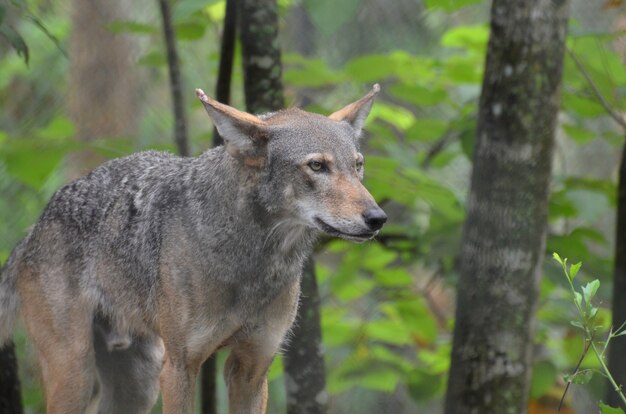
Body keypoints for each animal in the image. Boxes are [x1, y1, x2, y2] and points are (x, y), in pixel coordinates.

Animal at [0, 85, 386, 414]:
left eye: (358, 165)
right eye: (317, 166)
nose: (378, 218)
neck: (251, 265)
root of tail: (33, 230)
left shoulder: (252, 368)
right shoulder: (180, 367)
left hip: (137, 384)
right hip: (77, 376)